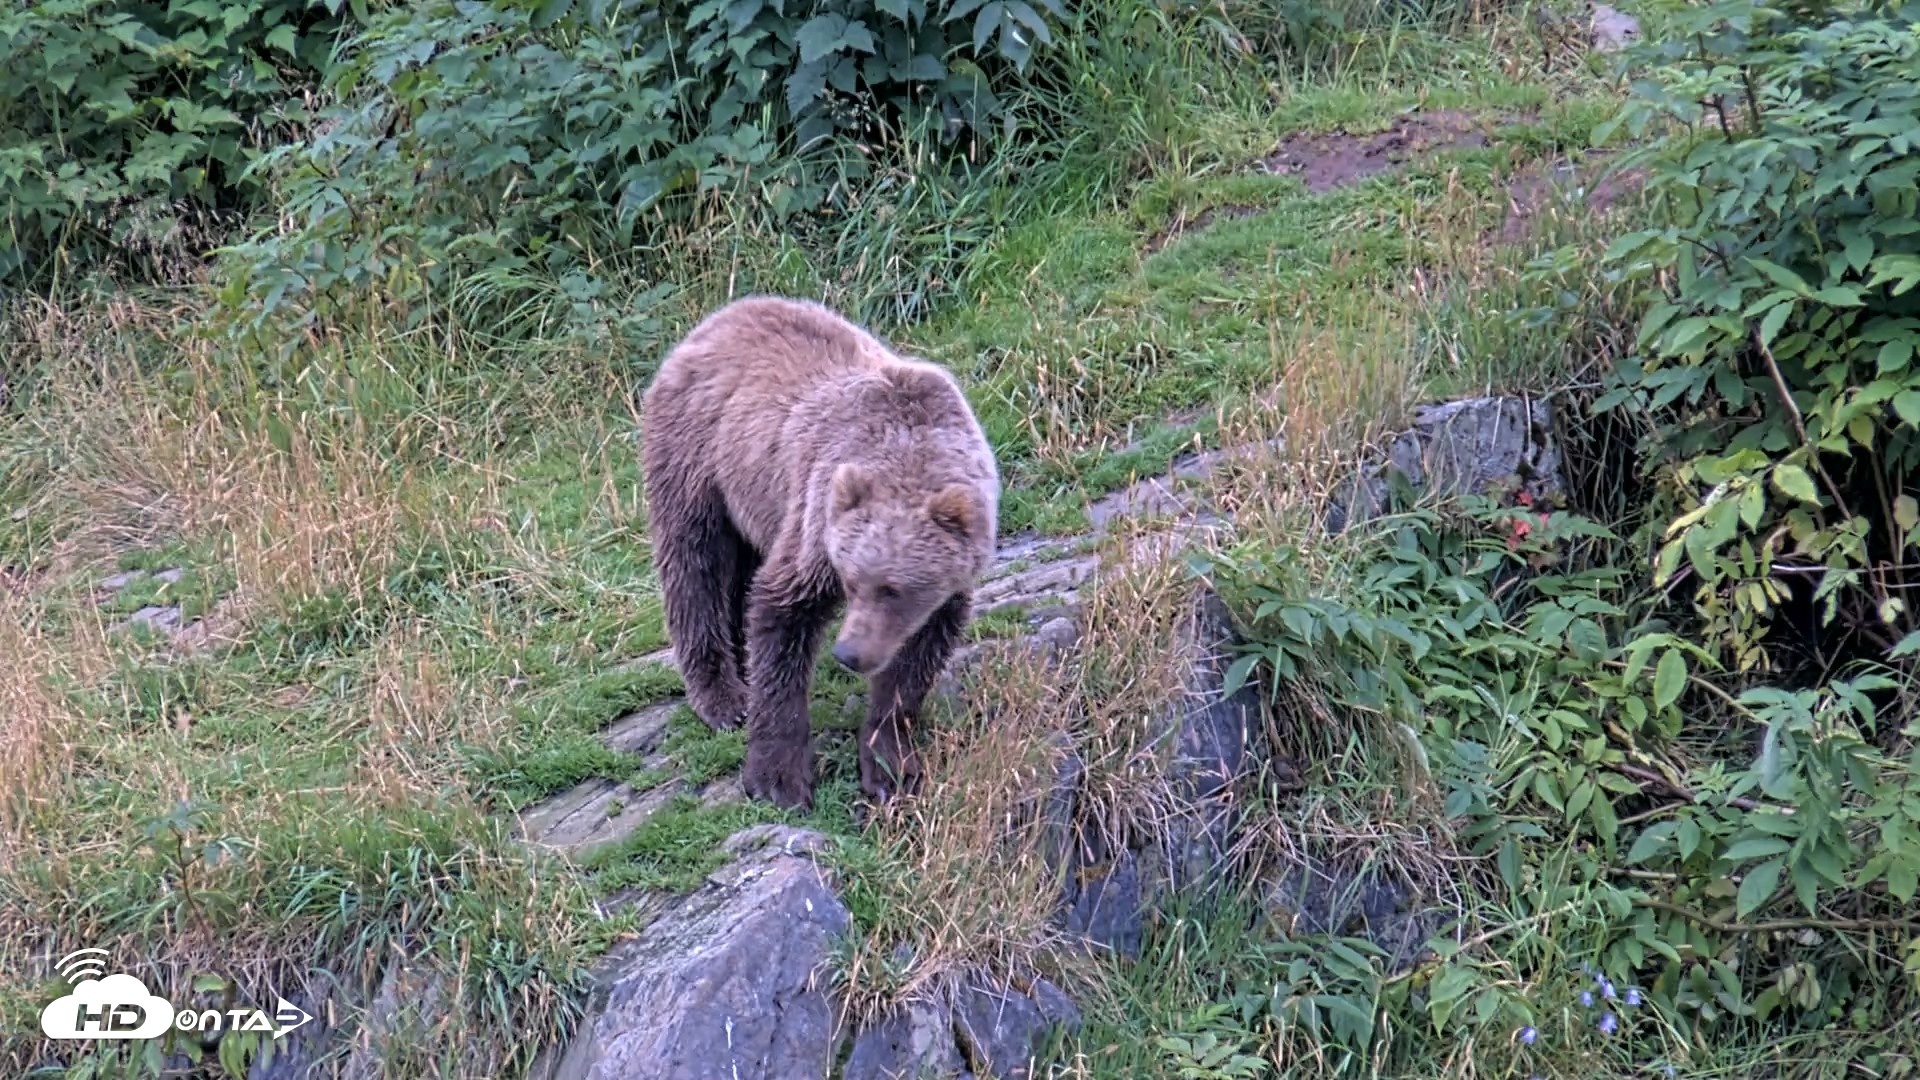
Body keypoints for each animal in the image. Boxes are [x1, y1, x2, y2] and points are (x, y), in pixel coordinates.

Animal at [639, 295, 1000, 812]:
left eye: (893, 589)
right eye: (852, 580)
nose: (849, 653)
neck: (912, 452)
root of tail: (713, 320)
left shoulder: (946, 589)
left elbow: (914, 665)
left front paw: (889, 765)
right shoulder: (816, 520)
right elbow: (783, 618)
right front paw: (778, 778)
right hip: (699, 457)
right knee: (695, 567)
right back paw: (721, 696)